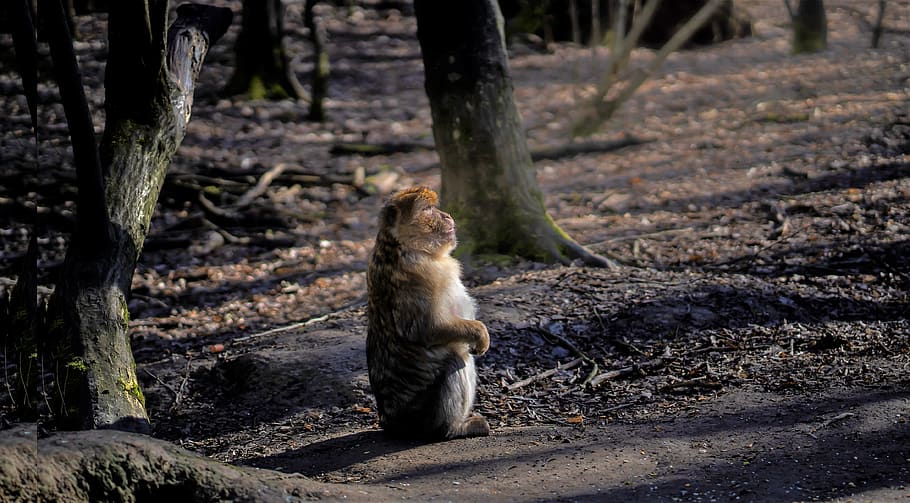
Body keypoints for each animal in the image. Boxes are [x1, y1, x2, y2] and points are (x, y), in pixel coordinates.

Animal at [366, 186, 490, 441]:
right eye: (427, 209)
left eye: (435, 207)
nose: (447, 216)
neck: (400, 246)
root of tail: (392, 424)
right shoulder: (420, 276)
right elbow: (425, 330)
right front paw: (480, 333)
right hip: (422, 416)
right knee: (455, 360)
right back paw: (453, 429)